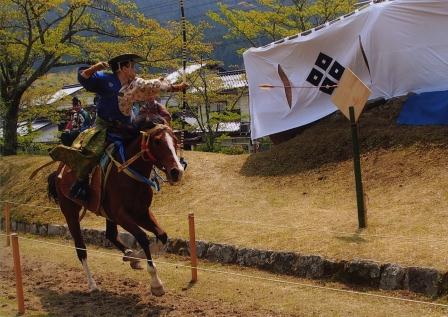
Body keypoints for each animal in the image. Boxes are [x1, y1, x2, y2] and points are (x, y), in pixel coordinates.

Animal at [47, 115, 184, 294]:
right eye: (157, 141)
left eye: (175, 140)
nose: (177, 171)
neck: (131, 175)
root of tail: (58, 171)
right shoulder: (121, 215)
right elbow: (143, 238)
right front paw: (156, 283)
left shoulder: (141, 213)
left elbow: (162, 236)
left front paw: (134, 258)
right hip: (69, 209)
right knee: (81, 249)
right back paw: (92, 284)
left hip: (108, 214)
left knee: (110, 235)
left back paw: (129, 255)